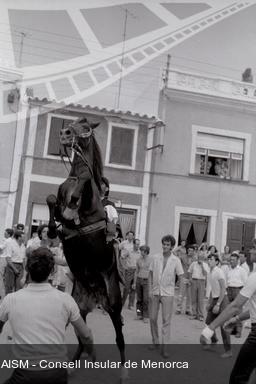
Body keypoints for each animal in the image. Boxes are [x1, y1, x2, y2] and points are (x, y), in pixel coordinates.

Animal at [46, 117, 127, 380]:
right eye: (71, 122)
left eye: (86, 127)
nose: (64, 133)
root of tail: (95, 296)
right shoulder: (60, 200)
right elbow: (53, 200)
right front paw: (53, 227)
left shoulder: (89, 200)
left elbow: (82, 187)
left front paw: (74, 205)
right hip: (77, 309)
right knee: (83, 340)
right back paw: (72, 365)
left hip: (114, 304)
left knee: (119, 337)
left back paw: (124, 372)